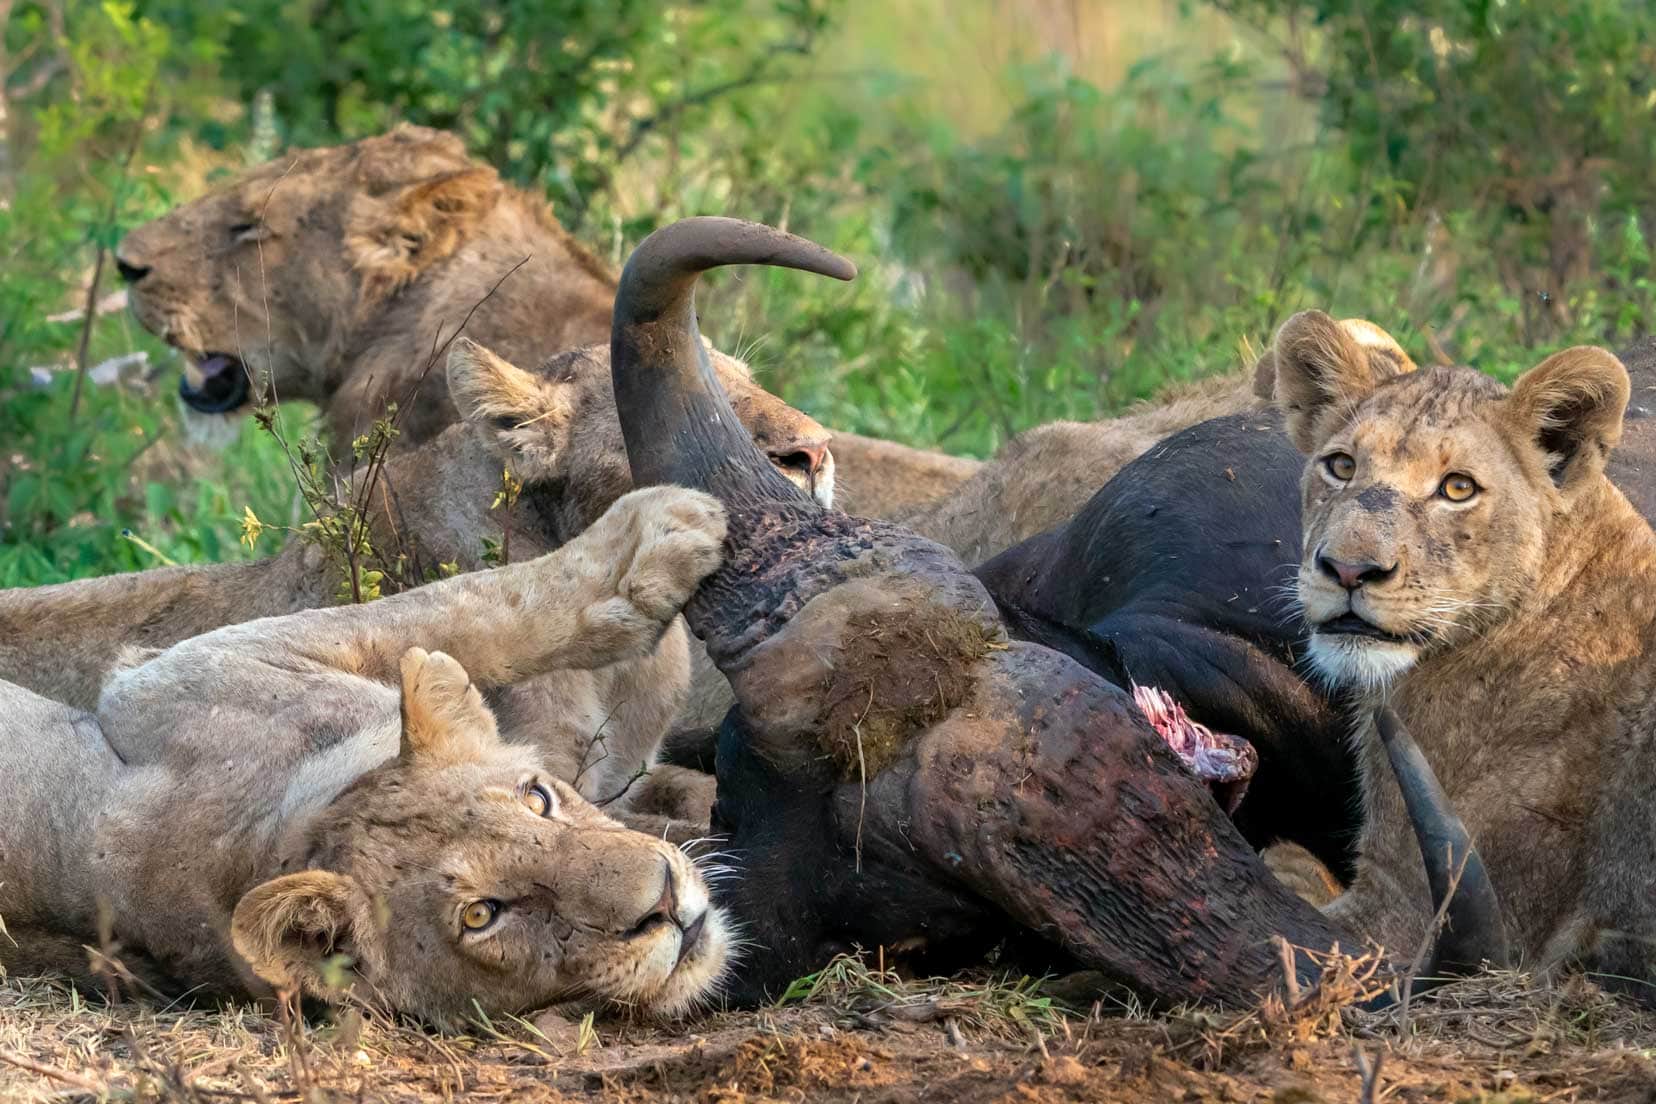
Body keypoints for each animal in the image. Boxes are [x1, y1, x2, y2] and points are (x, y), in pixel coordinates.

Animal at [0, 486, 738, 1026]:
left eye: (538, 797)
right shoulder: (167, 676)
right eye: (482, 915)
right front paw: (661, 532)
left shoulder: (172, 676)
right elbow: (463, 603)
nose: (666, 903)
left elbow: (435, 613)